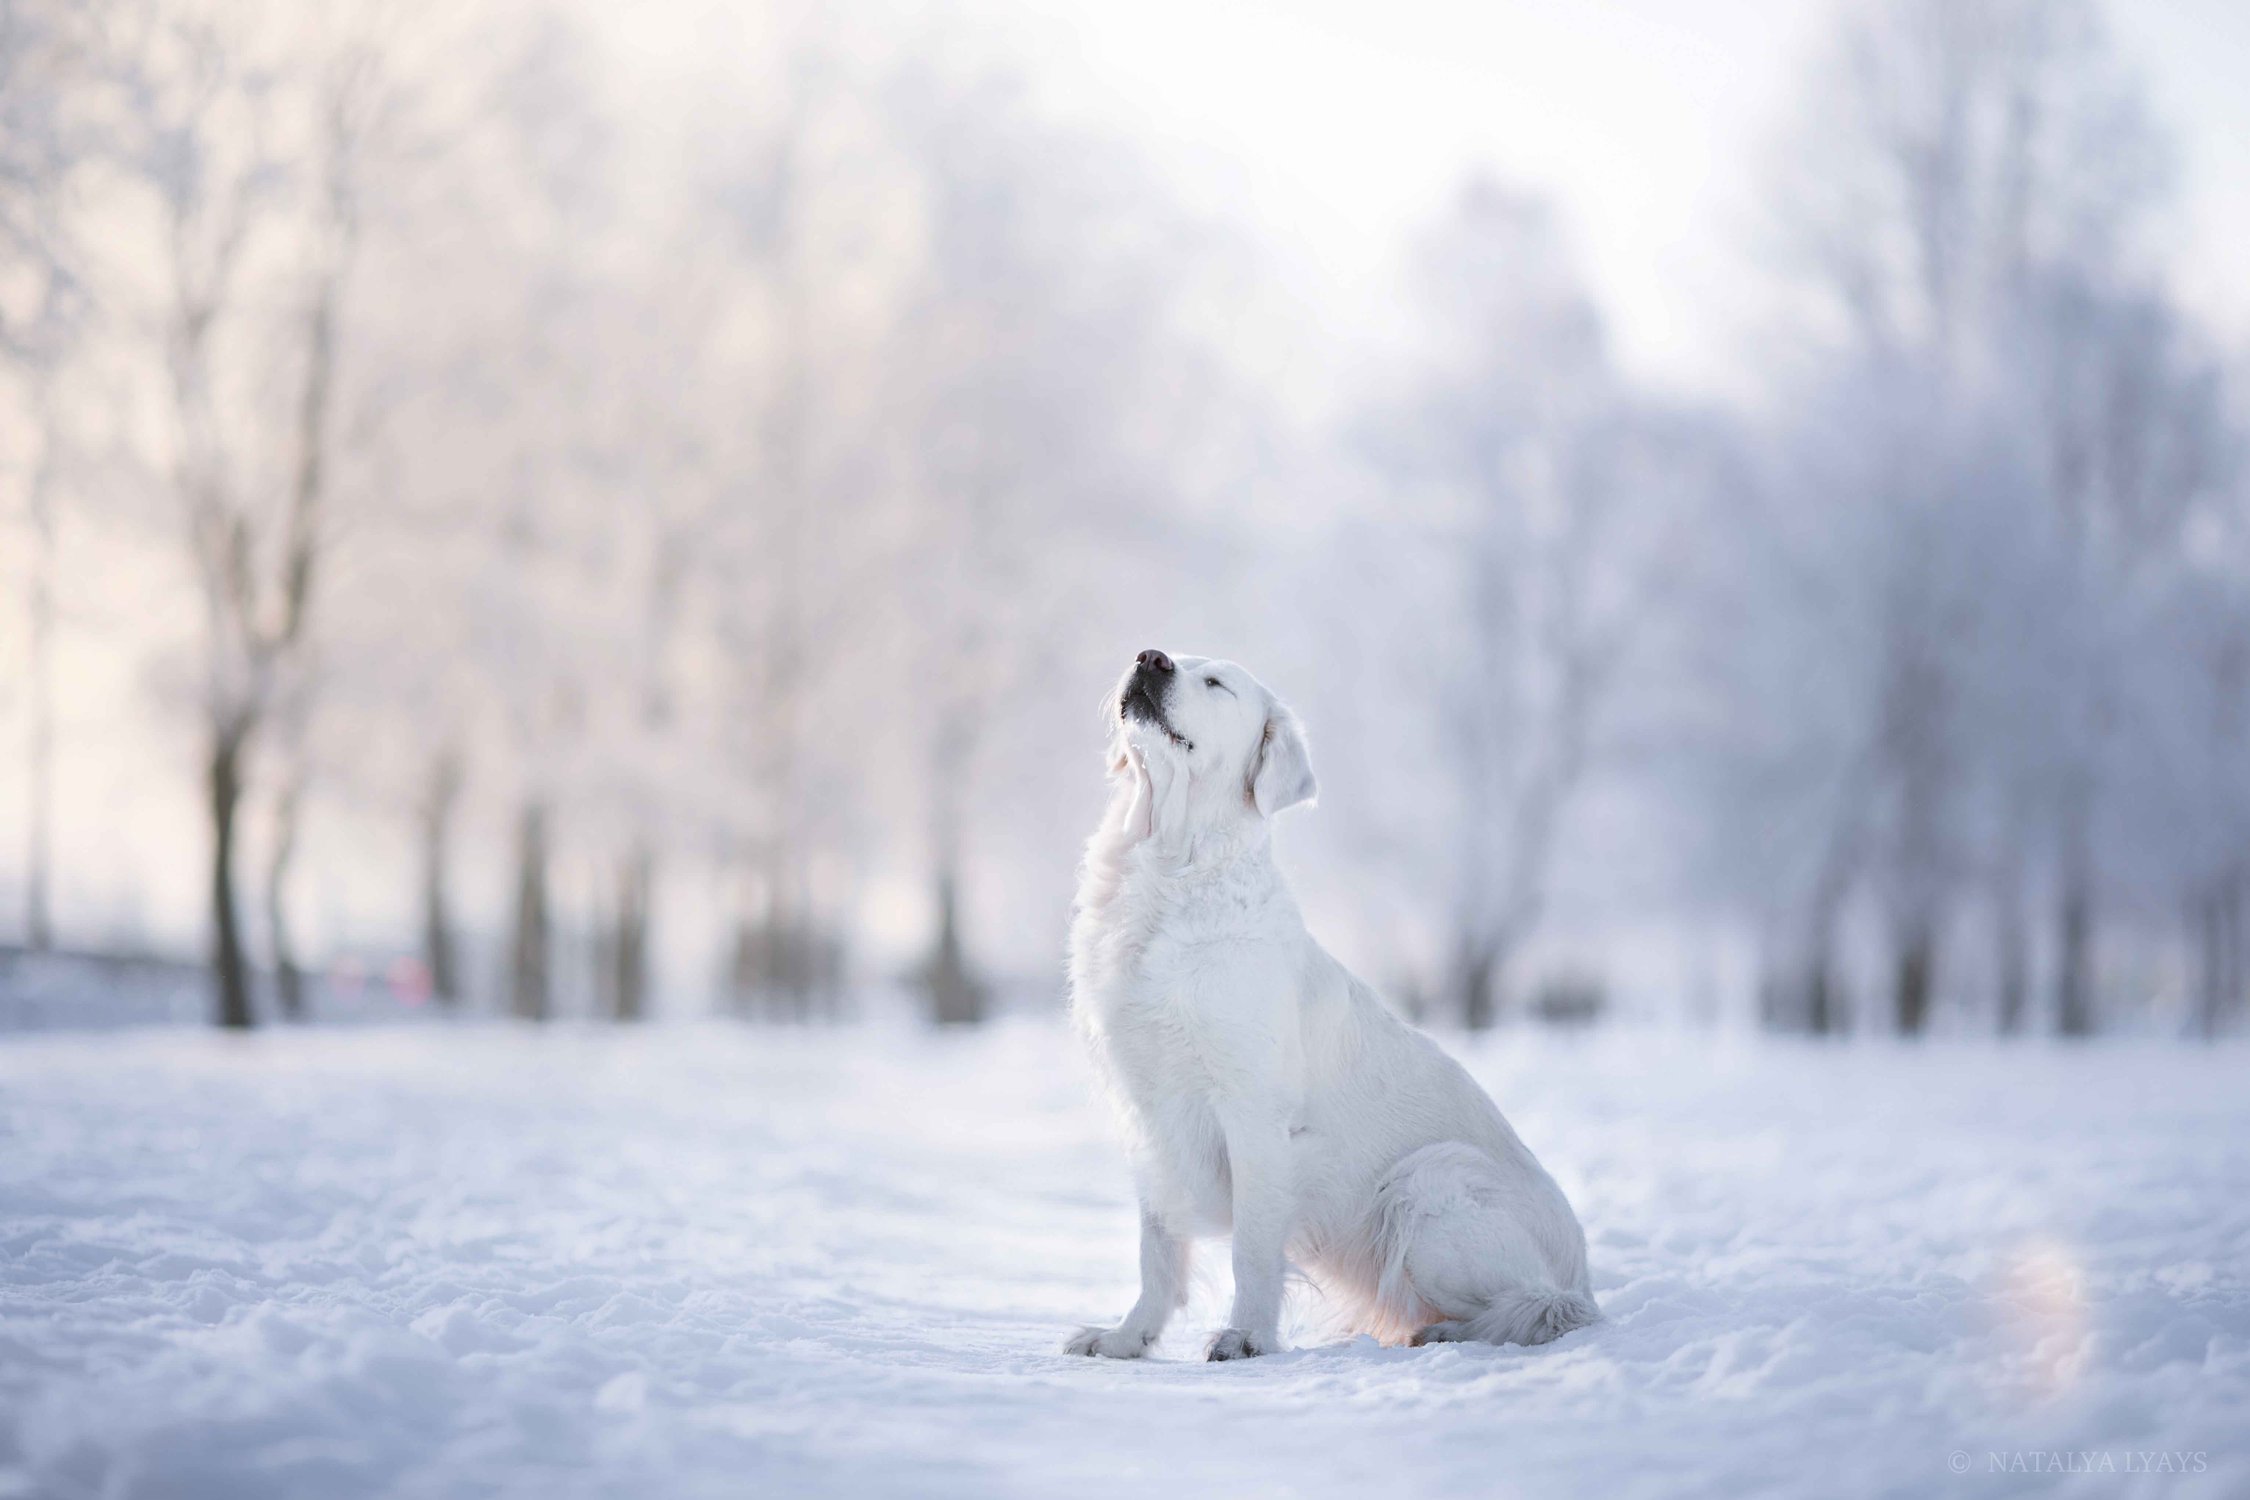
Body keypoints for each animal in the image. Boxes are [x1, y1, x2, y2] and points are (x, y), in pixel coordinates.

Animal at [1062, 647, 1593, 1358]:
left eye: (1216, 682)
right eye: (1163, 654)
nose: (1151, 658)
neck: (1171, 867)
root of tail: (1581, 1274)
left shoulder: (1253, 1115)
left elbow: (1252, 1251)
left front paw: (1245, 1338)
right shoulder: (1149, 1116)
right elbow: (1157, 1249)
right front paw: (1126, 1338)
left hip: (1430, 1180)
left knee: (1537, 1307)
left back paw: (1443, 1330)